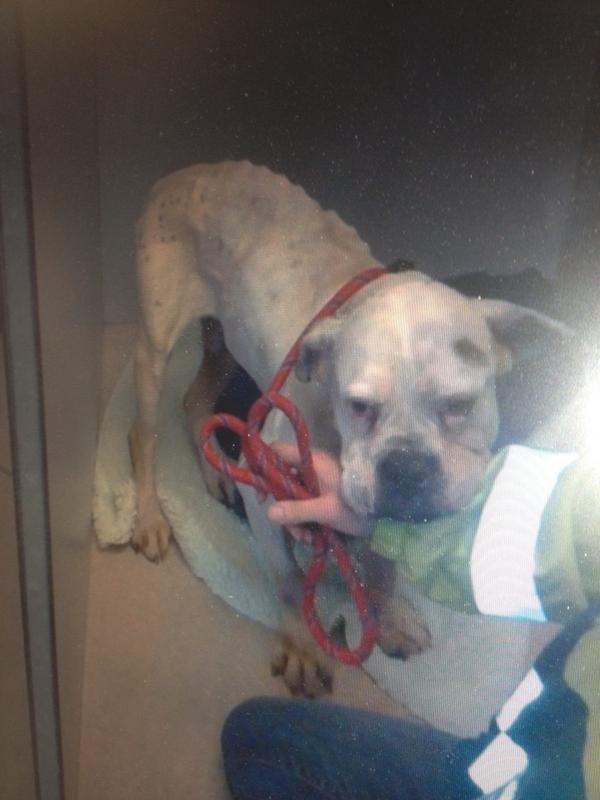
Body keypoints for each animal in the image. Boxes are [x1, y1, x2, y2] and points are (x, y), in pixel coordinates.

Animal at [129, 160, 568, 696]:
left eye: (461, 404)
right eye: (358, 406)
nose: (406, 467)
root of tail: (187, 171)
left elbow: (383, 567)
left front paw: (389, 617)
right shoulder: (266, 492)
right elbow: (289, 582)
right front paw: (301, 647)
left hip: (226, 341)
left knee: (195, 400)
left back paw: (215, 472)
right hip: (155, 349)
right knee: (143, 435)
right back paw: (149, 517)